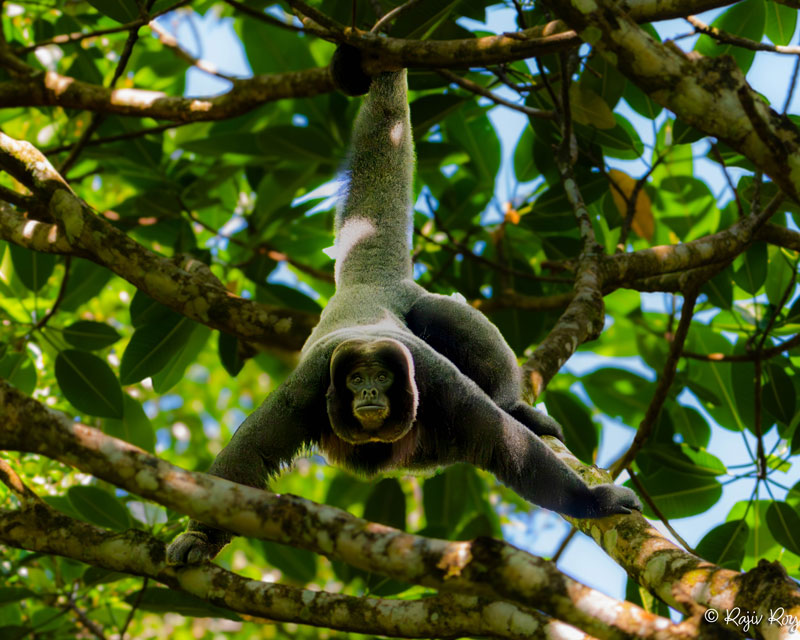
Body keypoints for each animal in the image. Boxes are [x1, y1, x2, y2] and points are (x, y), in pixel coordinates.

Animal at [166, 48, 641, 565]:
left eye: (383, 377)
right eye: (356, 380)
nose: (371, 392)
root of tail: (370, 284)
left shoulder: (437, 383)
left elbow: (509, 450)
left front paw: (594, 501)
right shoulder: (308, 387)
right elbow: (245, 458)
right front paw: (198, 537)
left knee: (441, 318)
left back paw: (514, 404)